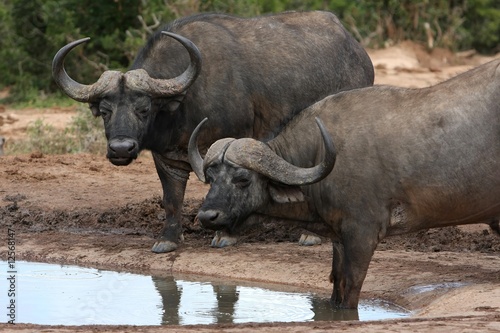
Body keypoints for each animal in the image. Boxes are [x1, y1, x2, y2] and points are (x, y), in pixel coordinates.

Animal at [53, 11, 376, 253]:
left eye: (143, 108)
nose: (121, 148)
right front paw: (168, 239)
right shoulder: (165, 156)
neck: (185, 103)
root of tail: (358, 51)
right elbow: (171, 198)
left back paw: (312, 235)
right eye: (105, 110)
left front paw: (226, 235)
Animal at [188, 59, 500, 308]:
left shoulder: (361, 235)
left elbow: (350, 289)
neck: (318, 156)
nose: (207, 216)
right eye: (211, 178)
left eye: (242, 179)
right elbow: (336, 286)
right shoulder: (339, 239)